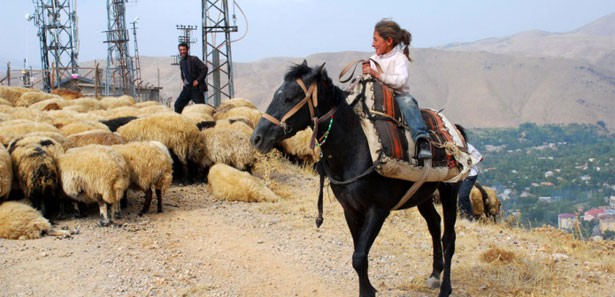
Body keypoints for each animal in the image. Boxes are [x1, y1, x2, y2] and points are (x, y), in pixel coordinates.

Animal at [251, 61, 462, 294]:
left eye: (290, 97)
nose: (257, 138)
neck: (355, 149)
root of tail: (456, 130)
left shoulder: (377, 210)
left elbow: (359, 257)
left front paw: (368, 291)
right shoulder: (350, 210)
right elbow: (357, 255)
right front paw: (366, 289)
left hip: (450, 190)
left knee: (449, 238)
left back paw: (445, 288)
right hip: (421, 195)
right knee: (434, 223)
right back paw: (434, 274)